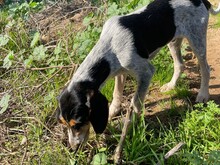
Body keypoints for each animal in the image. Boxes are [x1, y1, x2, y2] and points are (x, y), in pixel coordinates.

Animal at [56, 0, 220, 162]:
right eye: (63, 123)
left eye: (78, 124)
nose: (73, 149)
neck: (110, 47)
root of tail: (201, 1)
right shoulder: (120, 71)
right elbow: (116, 94)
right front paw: (113, 112)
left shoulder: (146, 73)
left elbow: (135, 104)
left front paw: (129, 125)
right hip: (173, 40)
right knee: (179, 64)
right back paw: (171, 85)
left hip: (197, 40)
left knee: (205, 69)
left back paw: (203, 94)